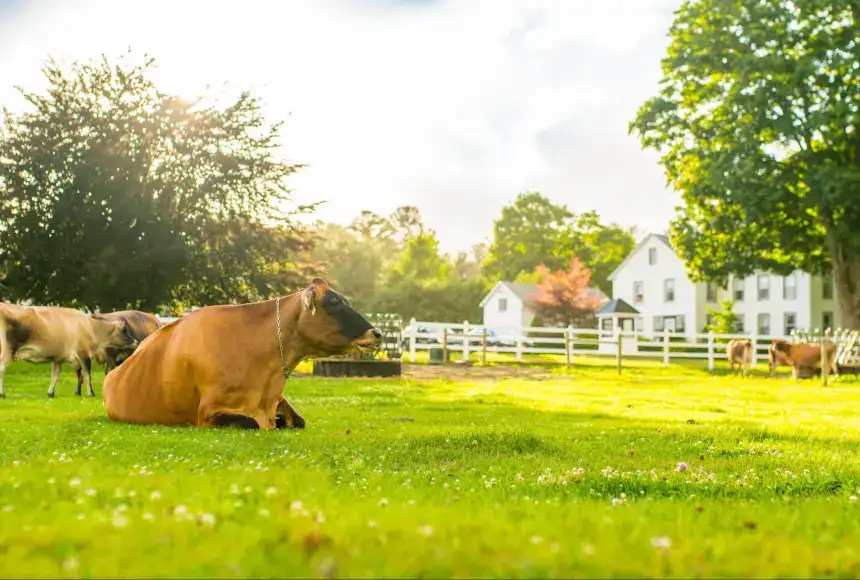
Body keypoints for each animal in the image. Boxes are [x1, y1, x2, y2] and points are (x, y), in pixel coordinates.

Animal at [0, 304, 137, 398]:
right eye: (125, 330)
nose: (136, 341)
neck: (90, 327)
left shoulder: (58, 358)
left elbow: (56, 376)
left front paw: (50, 393)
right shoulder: (84, 354)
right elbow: (87, 375)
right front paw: (91, 393)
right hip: (7, 351)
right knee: (1, 369)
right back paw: (2, 394)